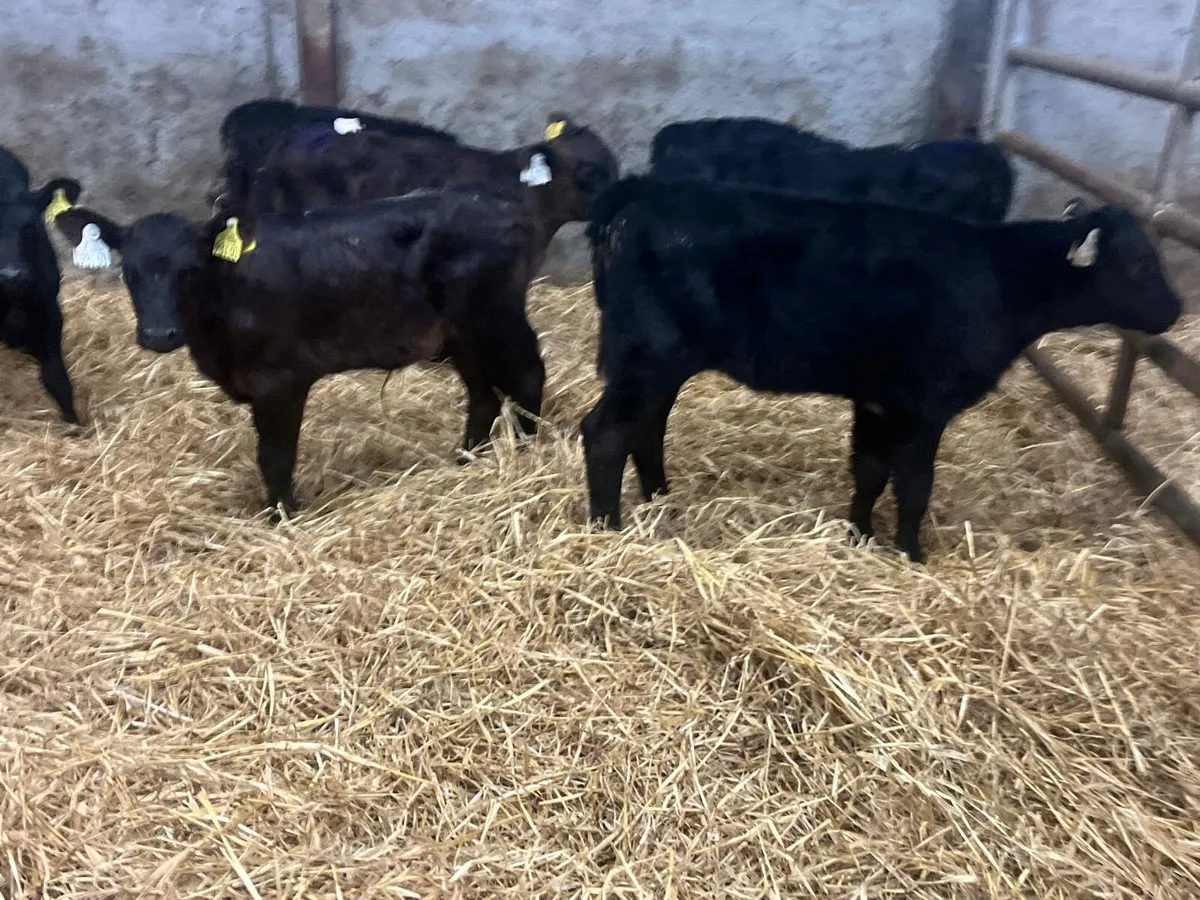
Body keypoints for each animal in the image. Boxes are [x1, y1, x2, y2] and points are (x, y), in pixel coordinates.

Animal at [52, 187, 545, 512]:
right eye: (130, 271)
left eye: (189, 270)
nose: (159, 333)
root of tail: (504, 206)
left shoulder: (281, 380)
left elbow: (275, 457)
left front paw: (284, 515)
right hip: (463, 336)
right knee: (483, 393)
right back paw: (466, 460)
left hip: (495, 319)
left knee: (527, 375)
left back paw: (525, 452)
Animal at [580, 177, 1182, 563]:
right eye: (1140, 264)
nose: (1175, 309)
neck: (998, 279)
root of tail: (638, 195)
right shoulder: (926, 404)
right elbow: (914, 484)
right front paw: (912, 554)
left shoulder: (877, 398)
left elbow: (869, 470)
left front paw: (861, 535)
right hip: (650, 356)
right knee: (605, 433)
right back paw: (607, 528)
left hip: (658, 365)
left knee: (646, 429)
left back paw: (660, 501)